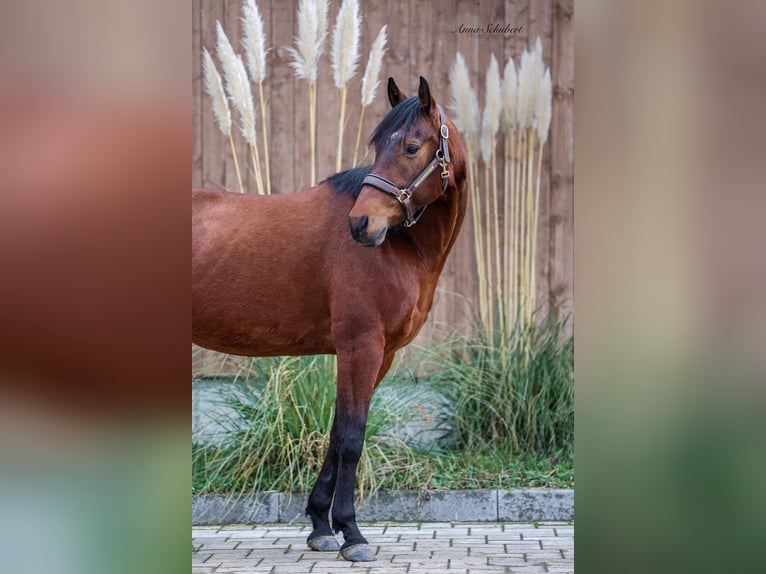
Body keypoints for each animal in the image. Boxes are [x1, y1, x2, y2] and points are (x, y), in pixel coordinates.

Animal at [192, 76, 467, 562]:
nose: (361, 224)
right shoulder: (361, 346)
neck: (401, 247)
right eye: (379, 147)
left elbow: (338, 434)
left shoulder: (378, 355)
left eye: (411, 147)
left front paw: (322, 526)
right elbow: (353, 438)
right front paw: (352, 533)